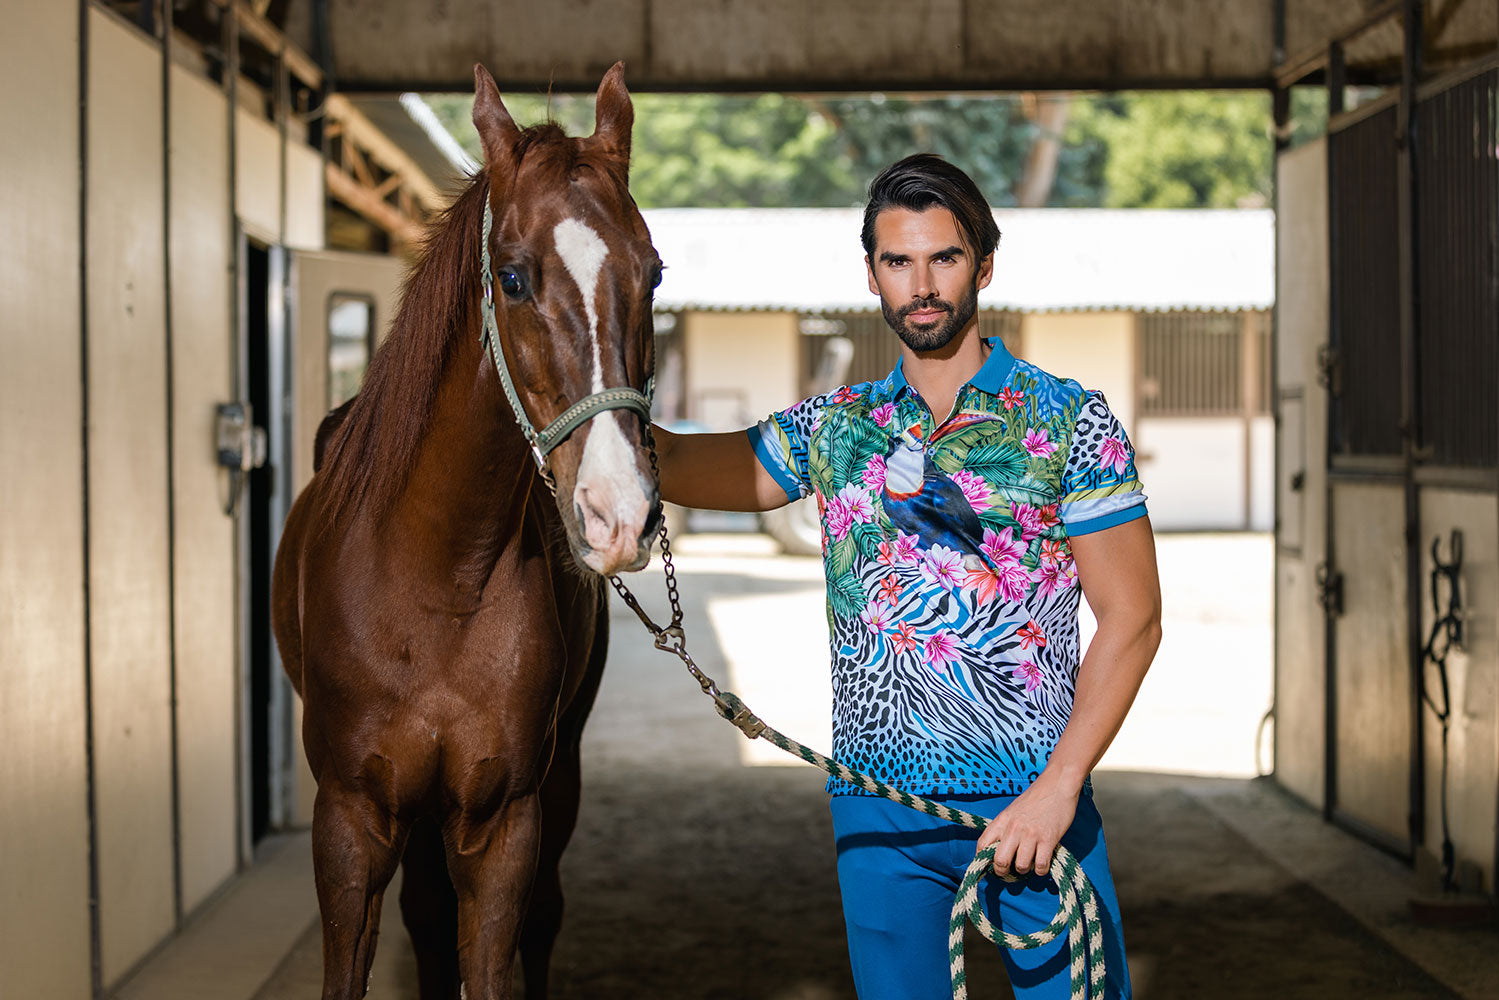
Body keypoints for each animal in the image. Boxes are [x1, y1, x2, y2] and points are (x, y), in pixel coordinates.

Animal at [275, 64, 662, 1000]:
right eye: (513, 278)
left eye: (655, 275)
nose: (619, 513)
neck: (436, 581)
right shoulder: (349, 821)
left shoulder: (501, 822)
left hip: (556, 779)